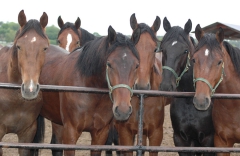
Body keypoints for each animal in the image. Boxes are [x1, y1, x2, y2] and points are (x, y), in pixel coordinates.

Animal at [159, 17, 216, 156]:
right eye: (162, 49)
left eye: (185, 51)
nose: (166, 86)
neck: (189, 100)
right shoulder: (181, 139)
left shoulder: (208, 140)